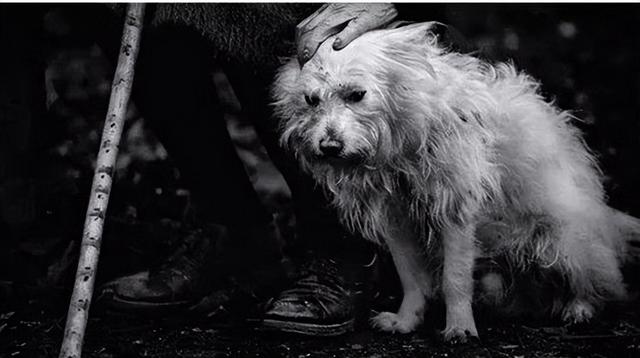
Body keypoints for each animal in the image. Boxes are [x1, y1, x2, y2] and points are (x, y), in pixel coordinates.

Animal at [272, 21, 640, 342]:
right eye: (311, 100)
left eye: (357, 94)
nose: (329, 147)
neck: (402, 139)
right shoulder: (396, 219)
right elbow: (411, 277)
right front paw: (407, 320)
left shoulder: (456, 211)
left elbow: (456, 278)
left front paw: (460, 327)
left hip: (563, 237)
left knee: (593, 277)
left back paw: (580, 307)